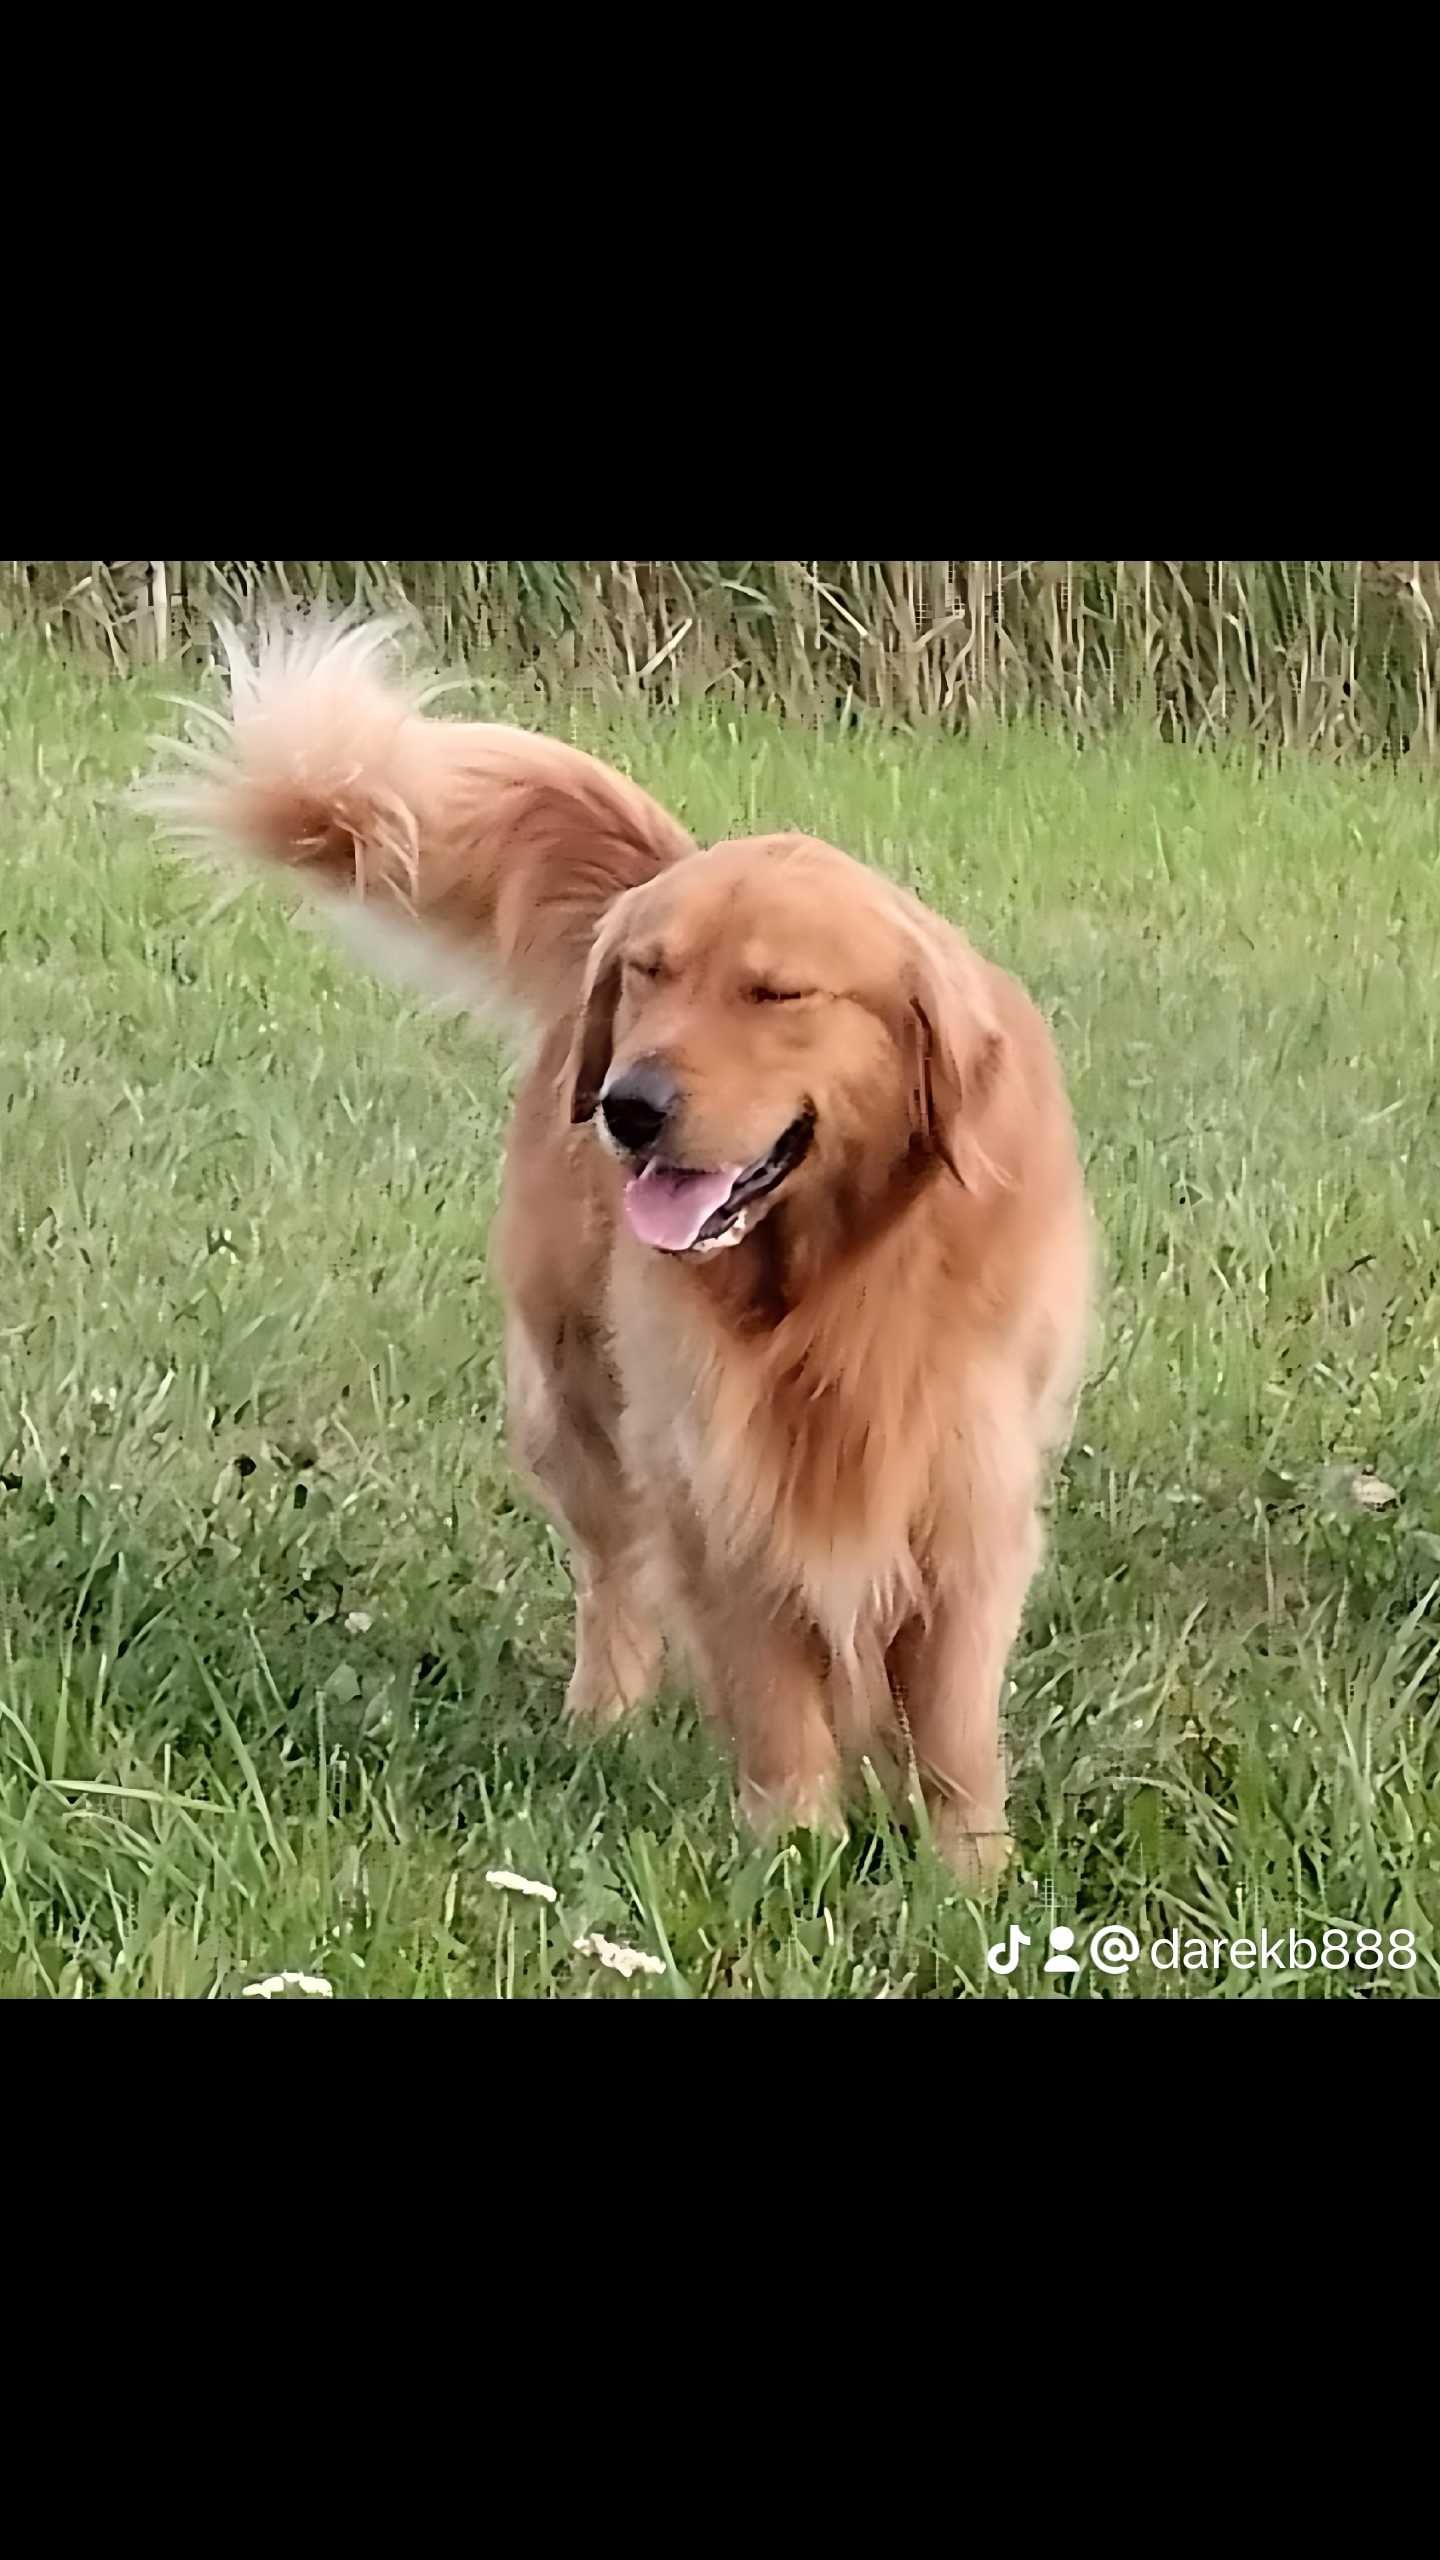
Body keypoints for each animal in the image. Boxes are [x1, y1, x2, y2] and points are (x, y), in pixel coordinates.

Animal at [148, 616, 1086, 1884]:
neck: (831, 1285)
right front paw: (791, 1851)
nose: (629, 1107)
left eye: (777, 992)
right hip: (576, 1392)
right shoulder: (718, 1478)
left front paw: (967, 1872)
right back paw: (603, 1718)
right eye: (651, 973)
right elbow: (775, 1694)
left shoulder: (968, 1489)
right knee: (612, 1571)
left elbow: (948, 1719)